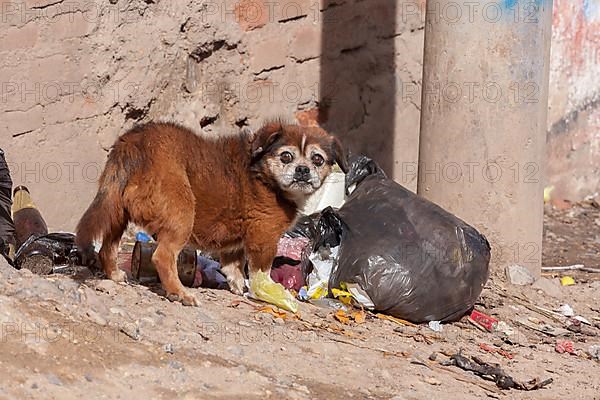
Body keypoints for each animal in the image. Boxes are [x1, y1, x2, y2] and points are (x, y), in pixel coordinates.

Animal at [76, 120, 346, 304]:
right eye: (286, 156)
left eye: (318, 159)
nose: (302, 170)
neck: (264, 175)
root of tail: (134, 142)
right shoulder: (264, 236)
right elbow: (260, 272)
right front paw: (267, 292)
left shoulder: (236, 243)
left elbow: (233, 266)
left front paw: (238, 286)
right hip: (182, 213)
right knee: (162, 257)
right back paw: (180, 293)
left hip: (116, 211)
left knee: (107, 247)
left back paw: (114, 274)